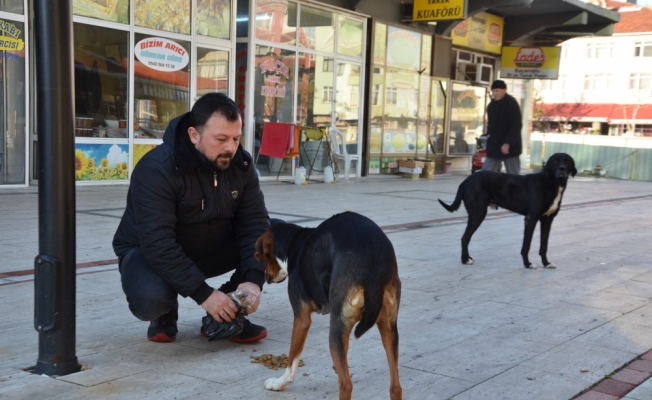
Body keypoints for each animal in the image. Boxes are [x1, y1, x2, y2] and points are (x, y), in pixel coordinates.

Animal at [255, 209, 402, 400]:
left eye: (265, 257)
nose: (267, 278)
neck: (293, 242)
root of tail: (373, 266)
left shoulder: (301, 319)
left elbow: (292, 359)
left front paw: (279, 383)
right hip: (389, 327)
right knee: (395, 387)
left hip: (337, 329)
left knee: (346, 385)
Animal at [438, 153, 576, 268]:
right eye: (555, 161)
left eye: (567, 161)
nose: (562, 169)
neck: (551, 183)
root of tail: (465, 181)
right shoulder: (531, 219)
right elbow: (526, 245)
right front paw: (527, 264)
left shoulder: (547, 220)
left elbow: (544, 245)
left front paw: (546, 263)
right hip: (478, 214)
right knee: (465, 238)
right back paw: (465, 260)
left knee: (466, 238)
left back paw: (467, 258)